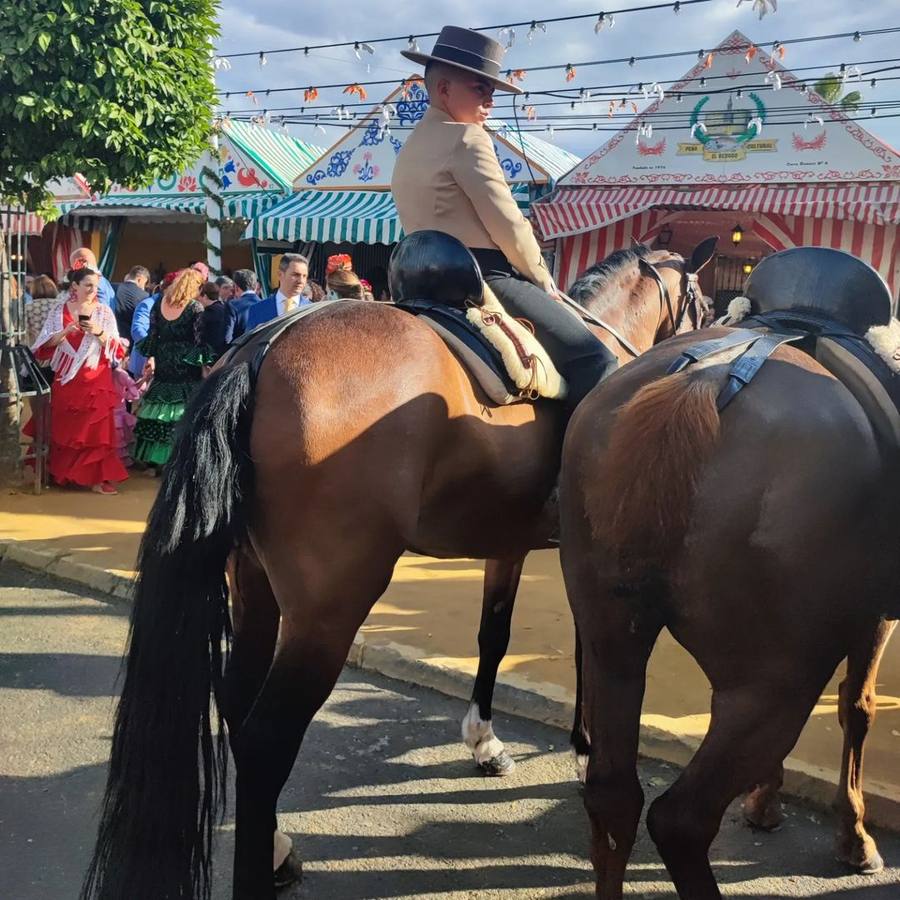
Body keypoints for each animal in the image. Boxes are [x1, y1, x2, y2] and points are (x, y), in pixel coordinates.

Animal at [81, 241, 712, 900]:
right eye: (703, 299)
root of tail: (262, 349)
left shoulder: (508, 543)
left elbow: (494, 636)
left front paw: (484, 740)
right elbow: (587, 650)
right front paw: (585, 744)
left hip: (252, 584)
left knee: (235, 699)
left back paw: (277, 847)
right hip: (327, 613)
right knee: (265, 739)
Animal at [564, 326, 900, 900]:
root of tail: (700, 385)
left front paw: (766, 804)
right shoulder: (876, 617)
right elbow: (858, 706)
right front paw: (854, 838)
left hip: (612, 650)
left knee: (613, 799)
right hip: (771, 687)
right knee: (680, 820)